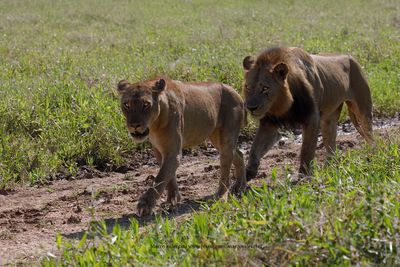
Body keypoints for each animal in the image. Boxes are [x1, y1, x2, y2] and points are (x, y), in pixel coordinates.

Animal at [117, 77, 245, 216]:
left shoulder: (173, 152)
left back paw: (221, 196)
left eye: (146, 104)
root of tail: (235, 91)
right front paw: (172, 199)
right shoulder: (159, 150)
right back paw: (240, 186)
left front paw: (146, 204)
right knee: (239, 154)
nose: (134, 125)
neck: (155, 125)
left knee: (226, 171)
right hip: (216, 138)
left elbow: (160, 178)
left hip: (226, 138)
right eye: (126, 105)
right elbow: (168, 176)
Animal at [242, 47, 374, 180]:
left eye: (265, 88)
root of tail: (352, 58)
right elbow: (255, 148)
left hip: (363, 110)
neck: (282, 105)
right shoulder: (269, 123)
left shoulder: (312, 118)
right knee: (331, 146)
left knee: (370, 136)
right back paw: (329, 169)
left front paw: (303, 176)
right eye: (248, 87)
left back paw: (373, 156)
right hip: (329, 119)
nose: (251, 107)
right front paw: (247, 173)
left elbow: (306, 149)